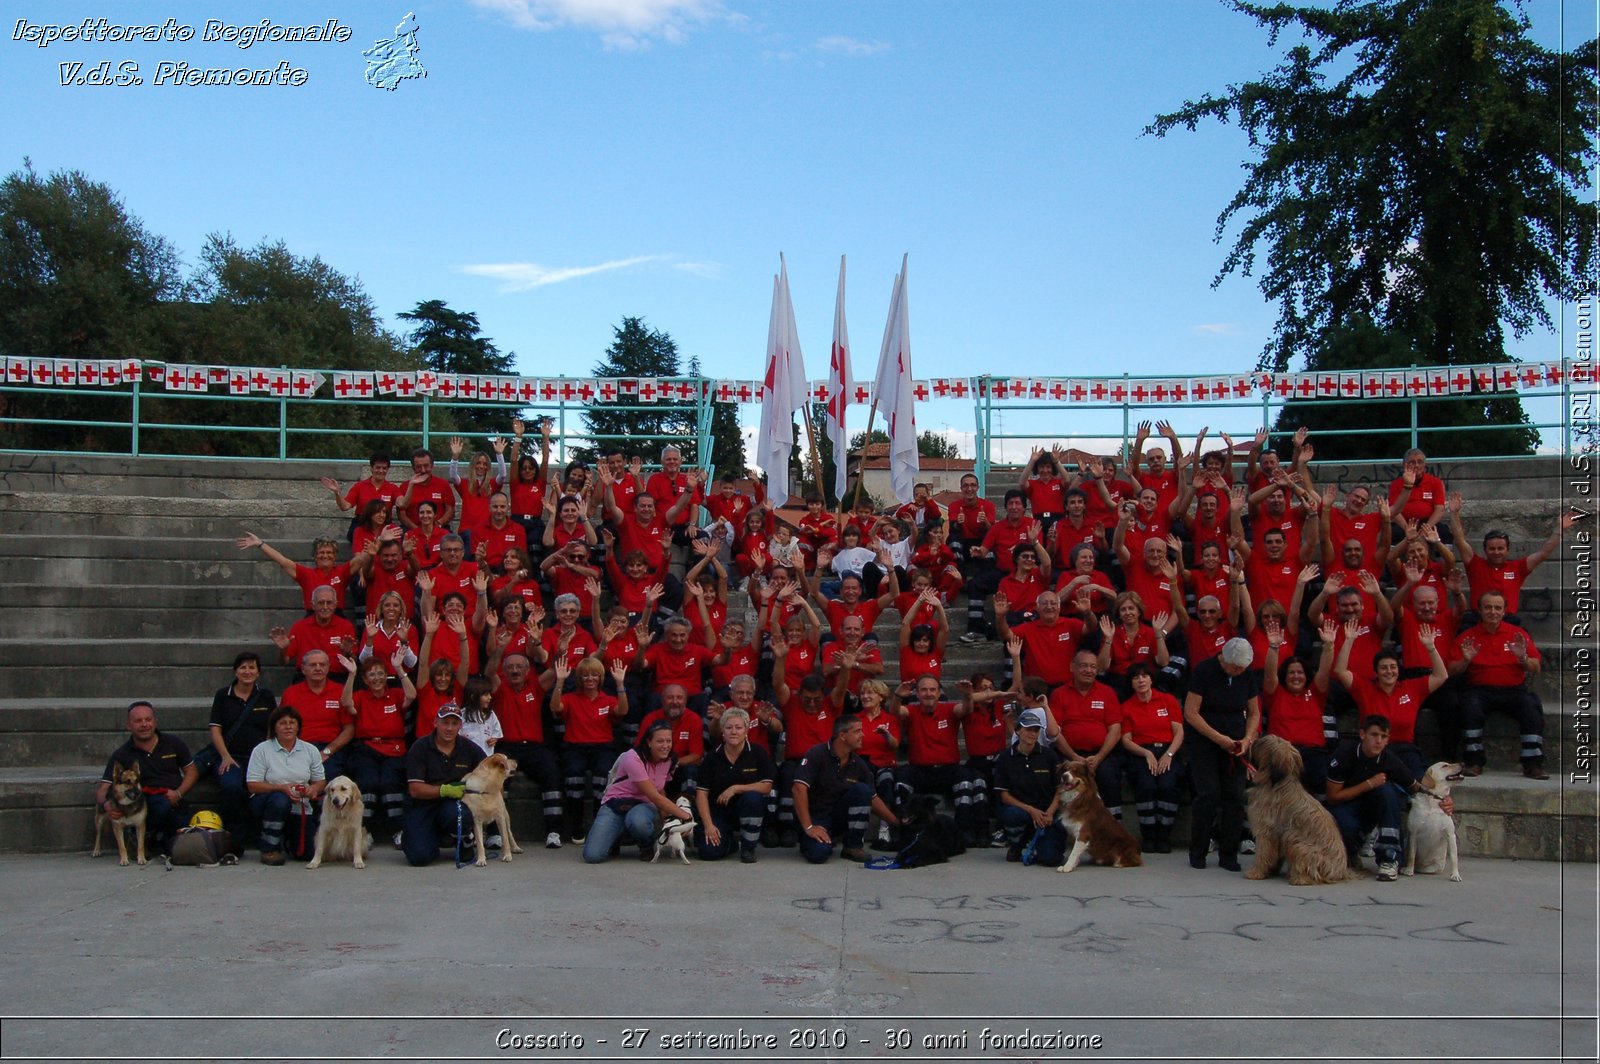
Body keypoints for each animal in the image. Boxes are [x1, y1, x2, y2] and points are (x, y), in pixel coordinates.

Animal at [1235, 736, 1350, 883]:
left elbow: (1263, 853)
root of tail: (1340, 871)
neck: (1278, 783)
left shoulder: (1266, 830)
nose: (1253, 741)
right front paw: (1270, 870)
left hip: (1297, 843)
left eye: (1263, 743)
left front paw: (1256, 872)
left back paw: (1299, 878)